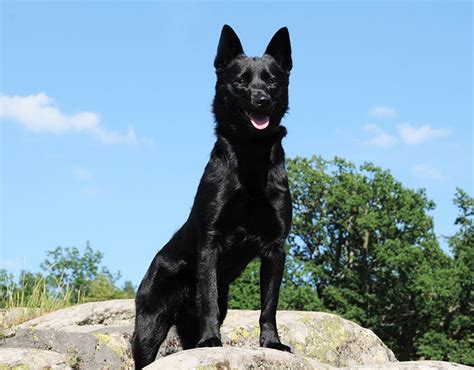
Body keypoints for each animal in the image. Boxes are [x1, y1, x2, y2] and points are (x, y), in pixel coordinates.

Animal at [131, 24, 292, 368]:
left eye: (271, 80)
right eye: (241, 80)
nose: (261, 100)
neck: (250, 156)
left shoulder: (275, 248)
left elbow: (269, 304)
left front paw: (272, 343)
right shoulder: (210, 241)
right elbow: (208, 300)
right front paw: (211, 341)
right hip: (149, 325)